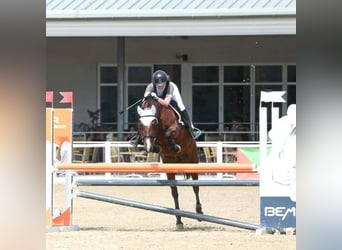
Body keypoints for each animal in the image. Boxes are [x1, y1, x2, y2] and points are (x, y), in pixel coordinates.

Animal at [136, 94, 203, 229]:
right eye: (140, 125)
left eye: (154, 123)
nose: (148, 147)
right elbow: (158, 144)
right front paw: (156, 147)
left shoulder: (175, 128)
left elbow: (168, 133)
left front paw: (175, 146)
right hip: (169, 166)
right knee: (174, 192)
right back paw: (179, 220)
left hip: (193, 160)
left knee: (195, 186)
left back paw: (199, 212)